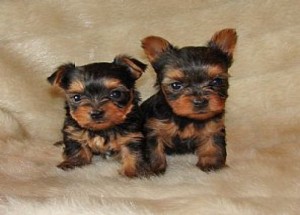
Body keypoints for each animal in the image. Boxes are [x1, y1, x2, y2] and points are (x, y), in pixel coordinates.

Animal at [140, 28, 237, 174]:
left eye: (217, 81)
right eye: (176, 85)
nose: (200, 101)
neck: (187, 119)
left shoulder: (214, 126)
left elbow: (213, 144)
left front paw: (211, 164)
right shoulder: (154, 128)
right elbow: (153, 148)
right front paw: (154, 169)